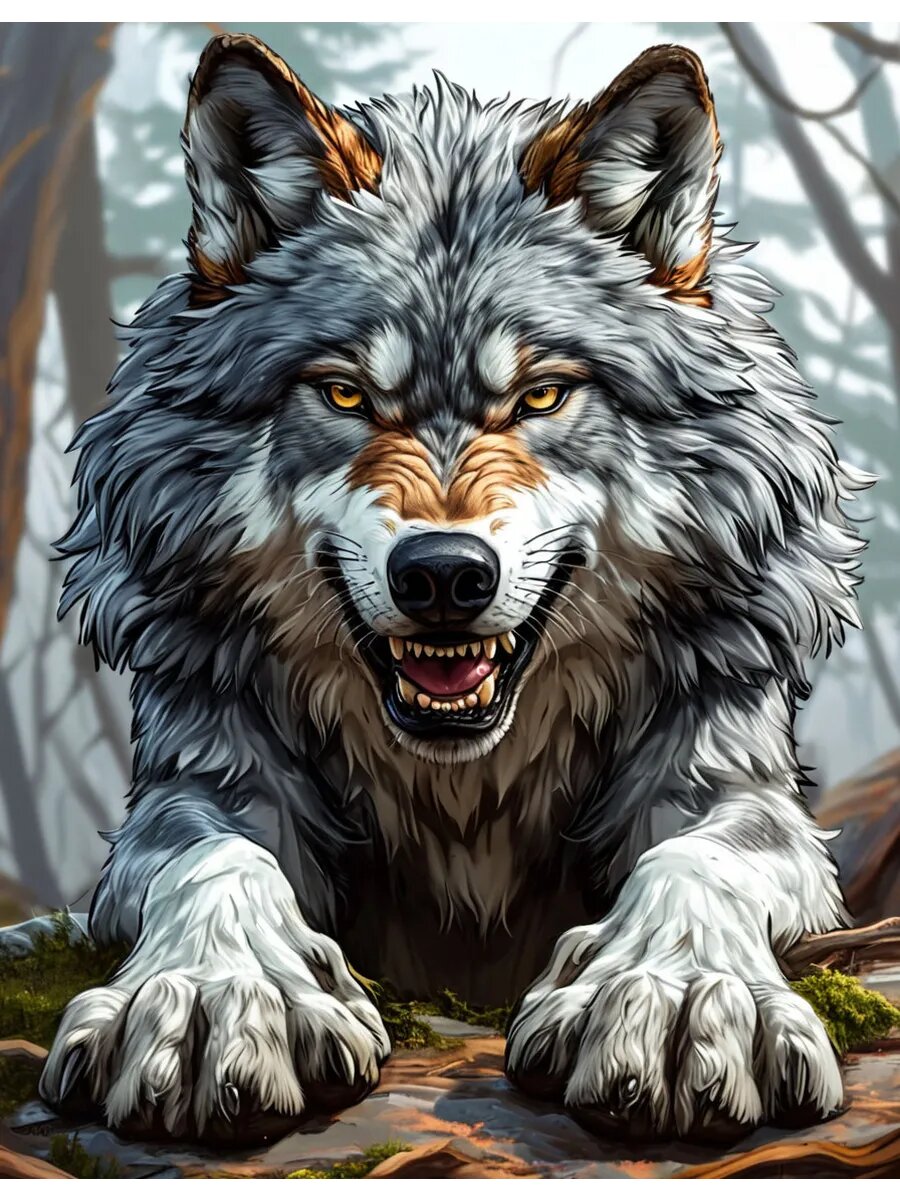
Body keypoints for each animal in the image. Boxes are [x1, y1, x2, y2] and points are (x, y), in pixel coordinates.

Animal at [38, 33, 868, 1145]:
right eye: (345, 392)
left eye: (542, 394)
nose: (442, 574)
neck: (464, 798)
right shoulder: (196, 776)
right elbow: (215, 863)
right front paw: (215, 998)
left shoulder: (733, 776)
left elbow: (699, 861)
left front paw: (680, 996)